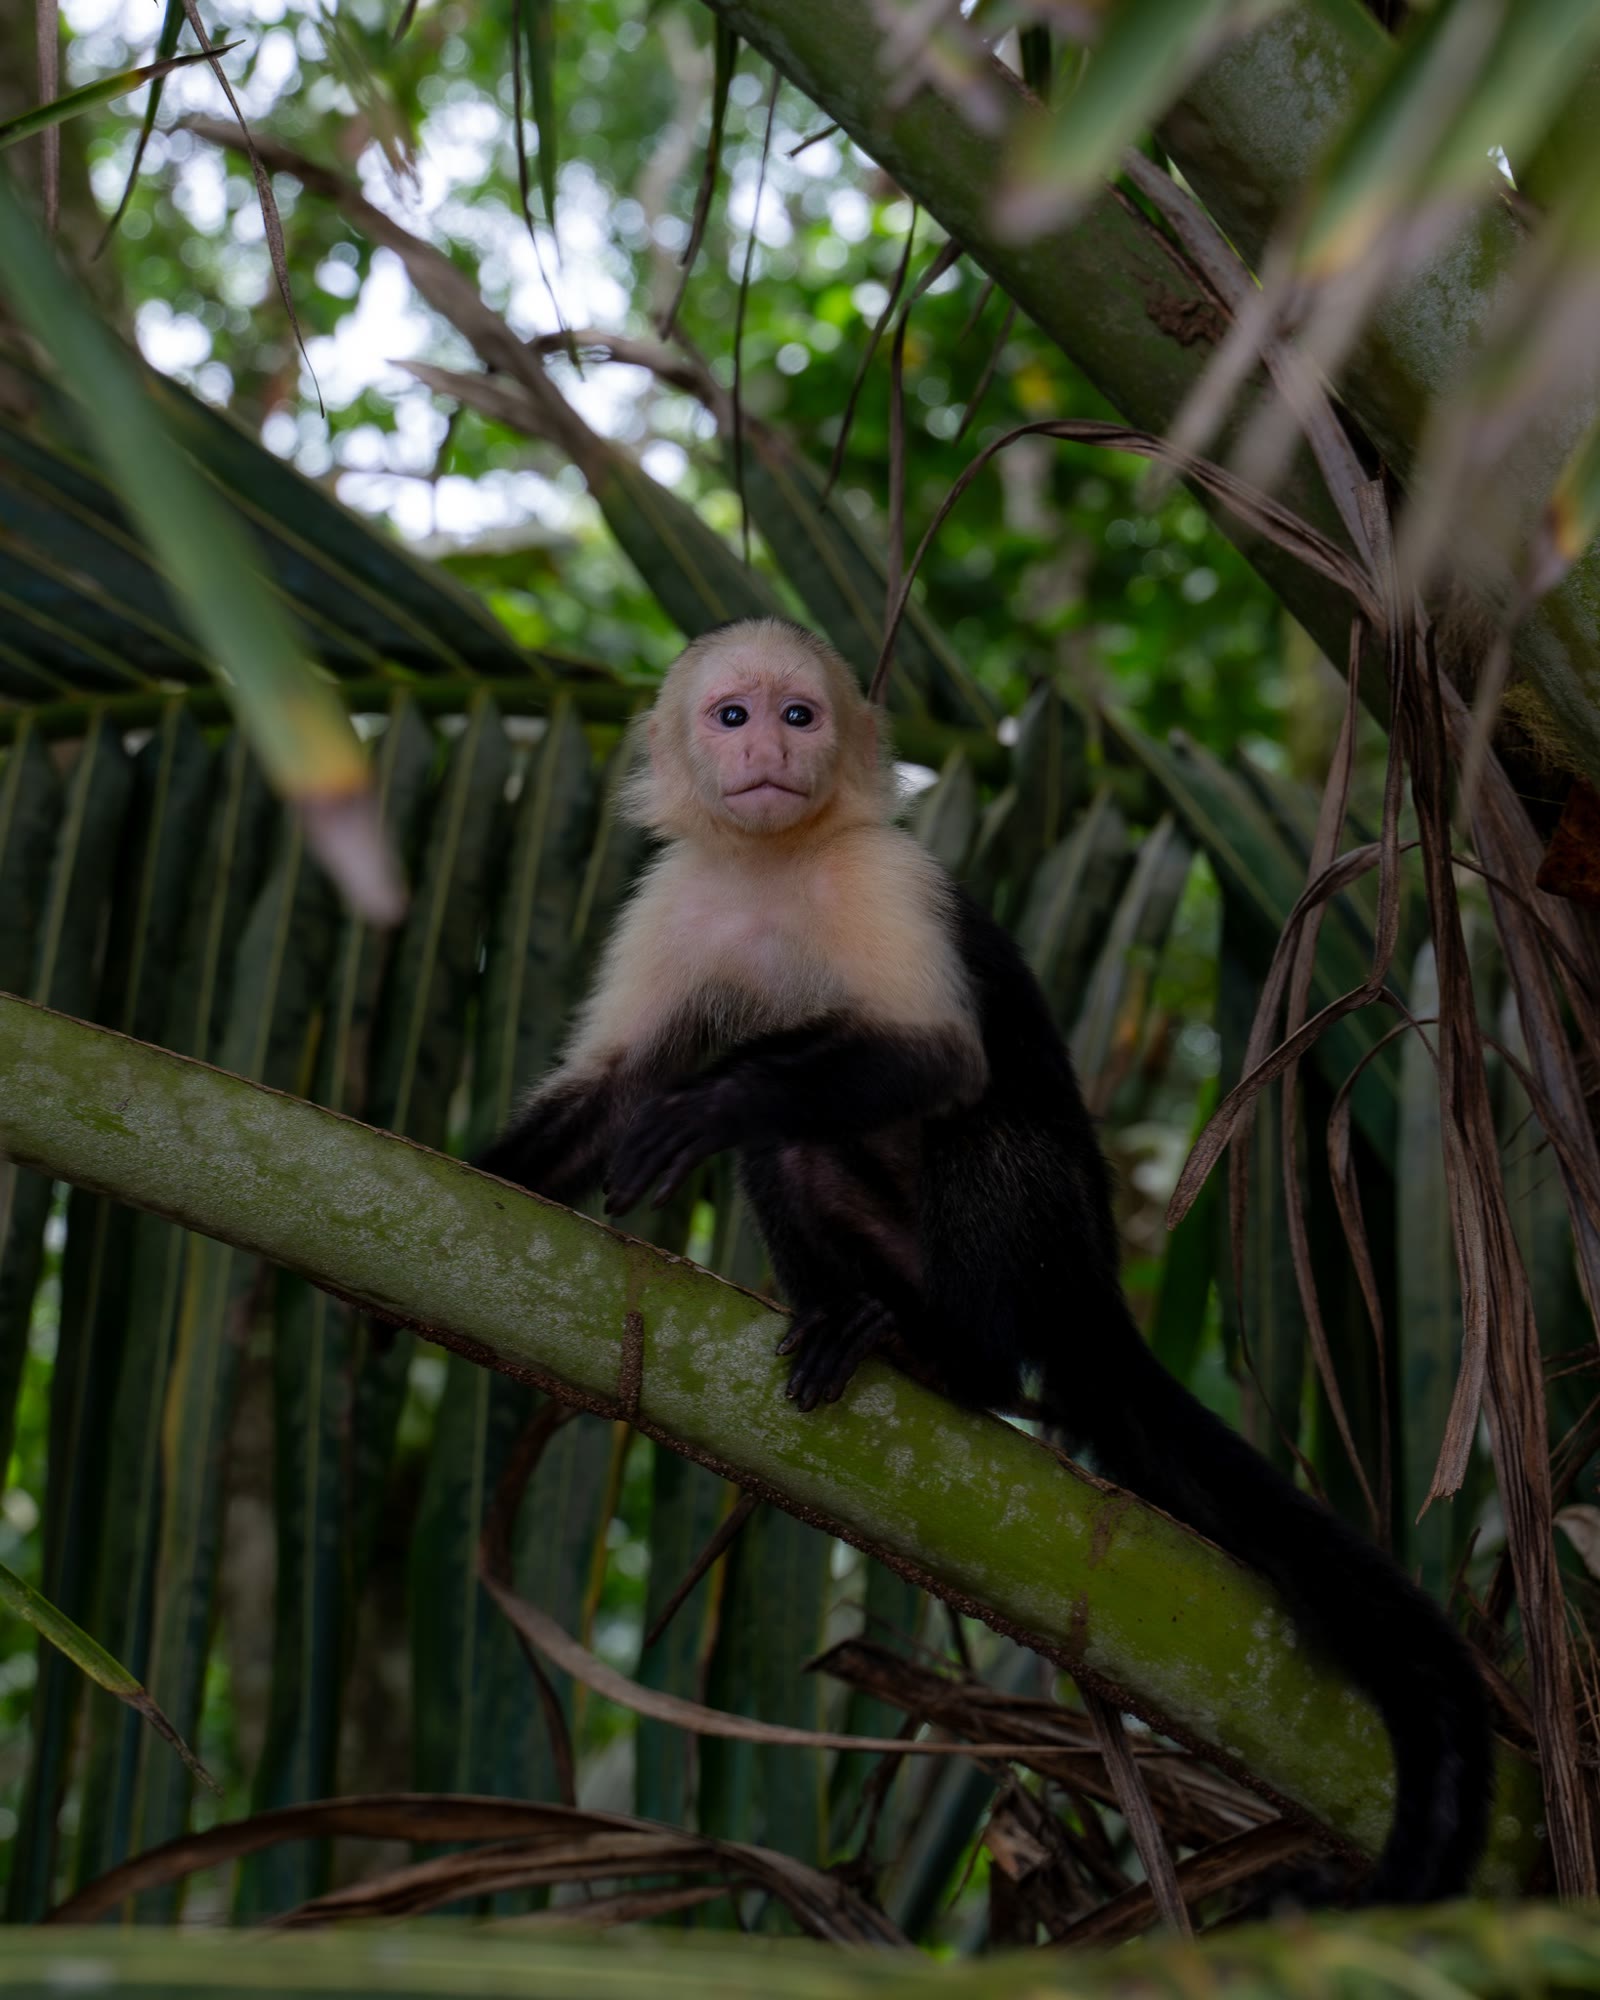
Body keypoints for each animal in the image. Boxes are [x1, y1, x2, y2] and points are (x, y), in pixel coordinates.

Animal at [477, 616, 1491, 1905]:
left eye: (799, 714)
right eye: (730, 715)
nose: (768, 752)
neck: (771, 866)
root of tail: (1096, 1293)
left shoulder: (888, 878)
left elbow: (937, 1063)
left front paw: (714, 1098)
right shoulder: (671, 902)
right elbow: (605, 1097)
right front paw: (435, 1160)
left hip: (1045, 1255)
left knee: (986, 1136)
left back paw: (956, 1363)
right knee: (794, 1158)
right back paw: (857, 1320)